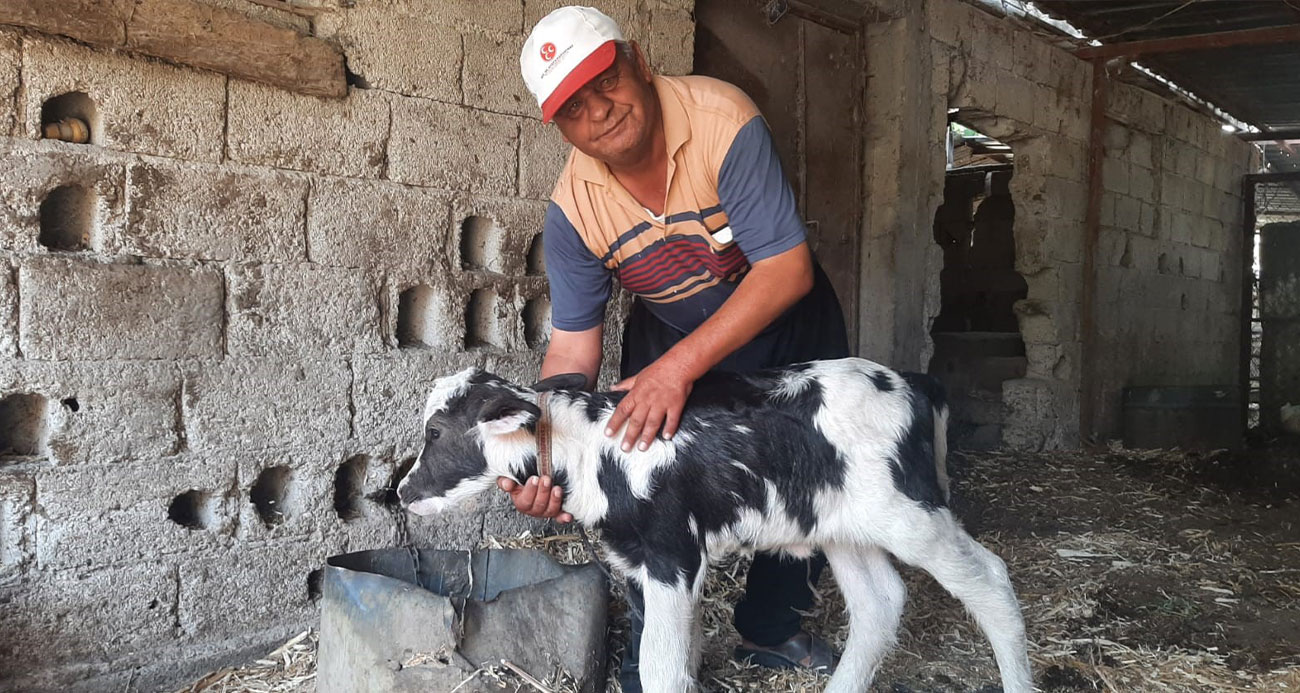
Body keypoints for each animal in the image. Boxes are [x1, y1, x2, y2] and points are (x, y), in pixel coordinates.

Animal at [400, 356, 1029, 691]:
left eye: (435, 431)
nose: (402, 492)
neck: (589, 449)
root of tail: (912, 380)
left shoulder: (673, 554)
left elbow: (663, 666)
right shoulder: (639, 560)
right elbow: (673, 657)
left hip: (910, 511)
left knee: (990, 578)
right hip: (839, 523)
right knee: (880, 602)